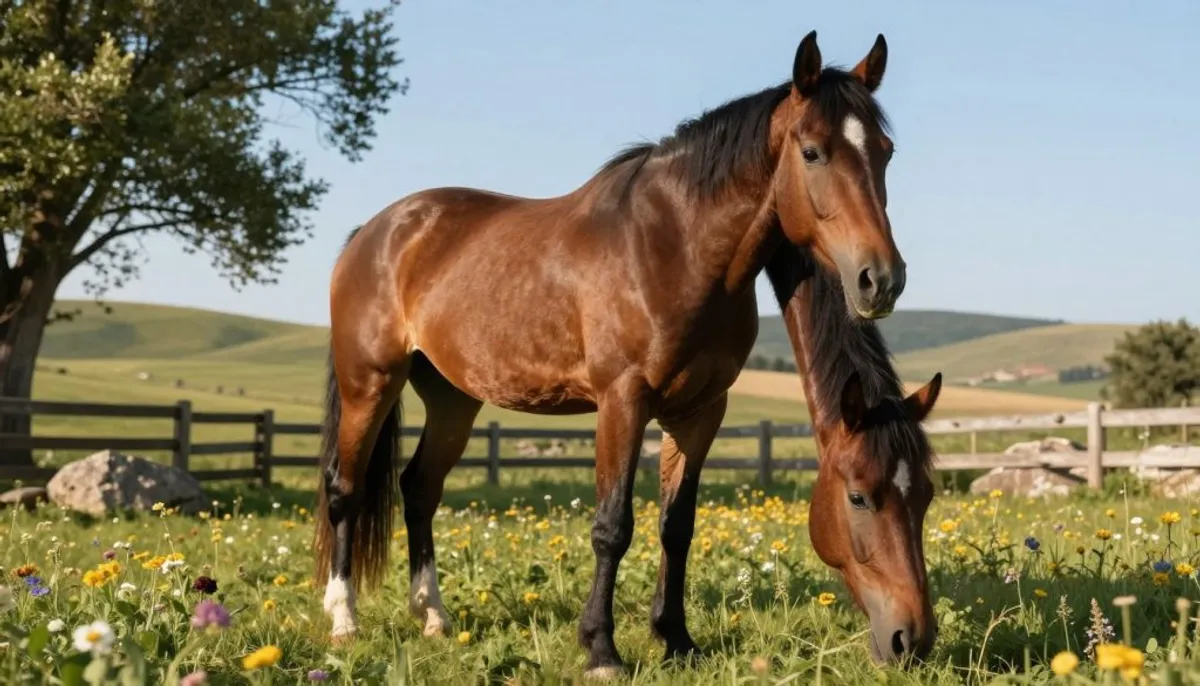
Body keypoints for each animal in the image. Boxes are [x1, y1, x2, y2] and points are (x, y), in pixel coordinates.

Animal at [314, 30, 908, 677]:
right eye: (813, 151)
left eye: (885, 151)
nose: (880, 279)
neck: (674, 246)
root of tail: (375, 232)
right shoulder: (622, 401)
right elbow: (612, 525)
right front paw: (601, 648)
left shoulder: (700, 411)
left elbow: (677, 526)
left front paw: (677, 639)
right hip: (370, 382)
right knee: (344, 487)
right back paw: (343, 620)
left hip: (453, 398)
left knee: (420, 488)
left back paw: (434, 618)